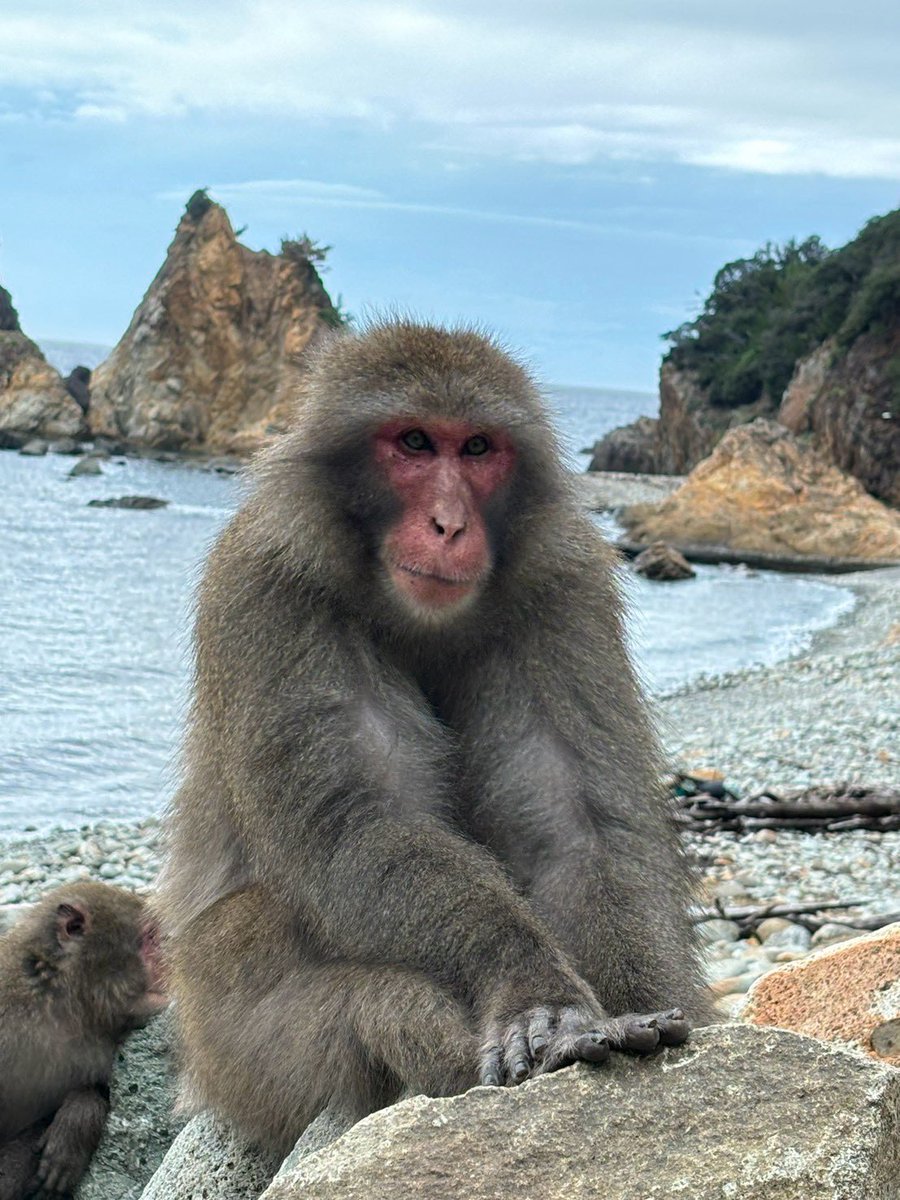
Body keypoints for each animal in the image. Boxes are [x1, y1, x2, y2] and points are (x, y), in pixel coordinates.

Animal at [159, 319, 712, 1156]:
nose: (449, 524)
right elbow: (362, 828)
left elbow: (574, 832)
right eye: (415, 442)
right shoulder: (269, 587)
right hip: (230, 1045)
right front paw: (537, 994)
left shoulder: (563, 587)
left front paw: (639, 1009)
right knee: (292, 950)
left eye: (477, 448)